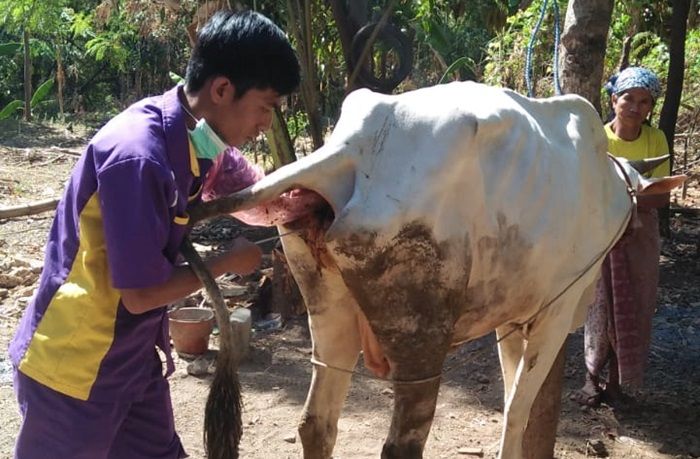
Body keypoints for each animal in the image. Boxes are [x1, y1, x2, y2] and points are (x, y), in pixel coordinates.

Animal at [196, 82, 684, 459]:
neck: (611, 183)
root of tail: (351, 148)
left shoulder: (511, 318)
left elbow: (510, 398)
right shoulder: (555, 311)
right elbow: (517, 410)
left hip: (328, 309)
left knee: (316, 424)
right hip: (422, 333)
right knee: (402, 444)